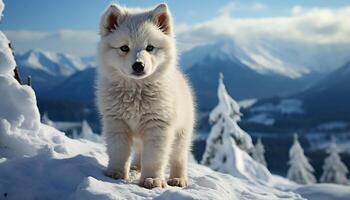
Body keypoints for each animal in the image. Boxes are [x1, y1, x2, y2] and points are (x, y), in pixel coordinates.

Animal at [95, 3, 194, 190]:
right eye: (124, 48)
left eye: (150, 48)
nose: (138, 65)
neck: (136, 92)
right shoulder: (117, 124)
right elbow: (119, 153)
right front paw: (115, 173)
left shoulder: (157, 128)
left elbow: (154, 159)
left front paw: (152, 180)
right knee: (139, 153)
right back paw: (136, 167)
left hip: (181, 135)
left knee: (178, 158)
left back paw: (178, 179)